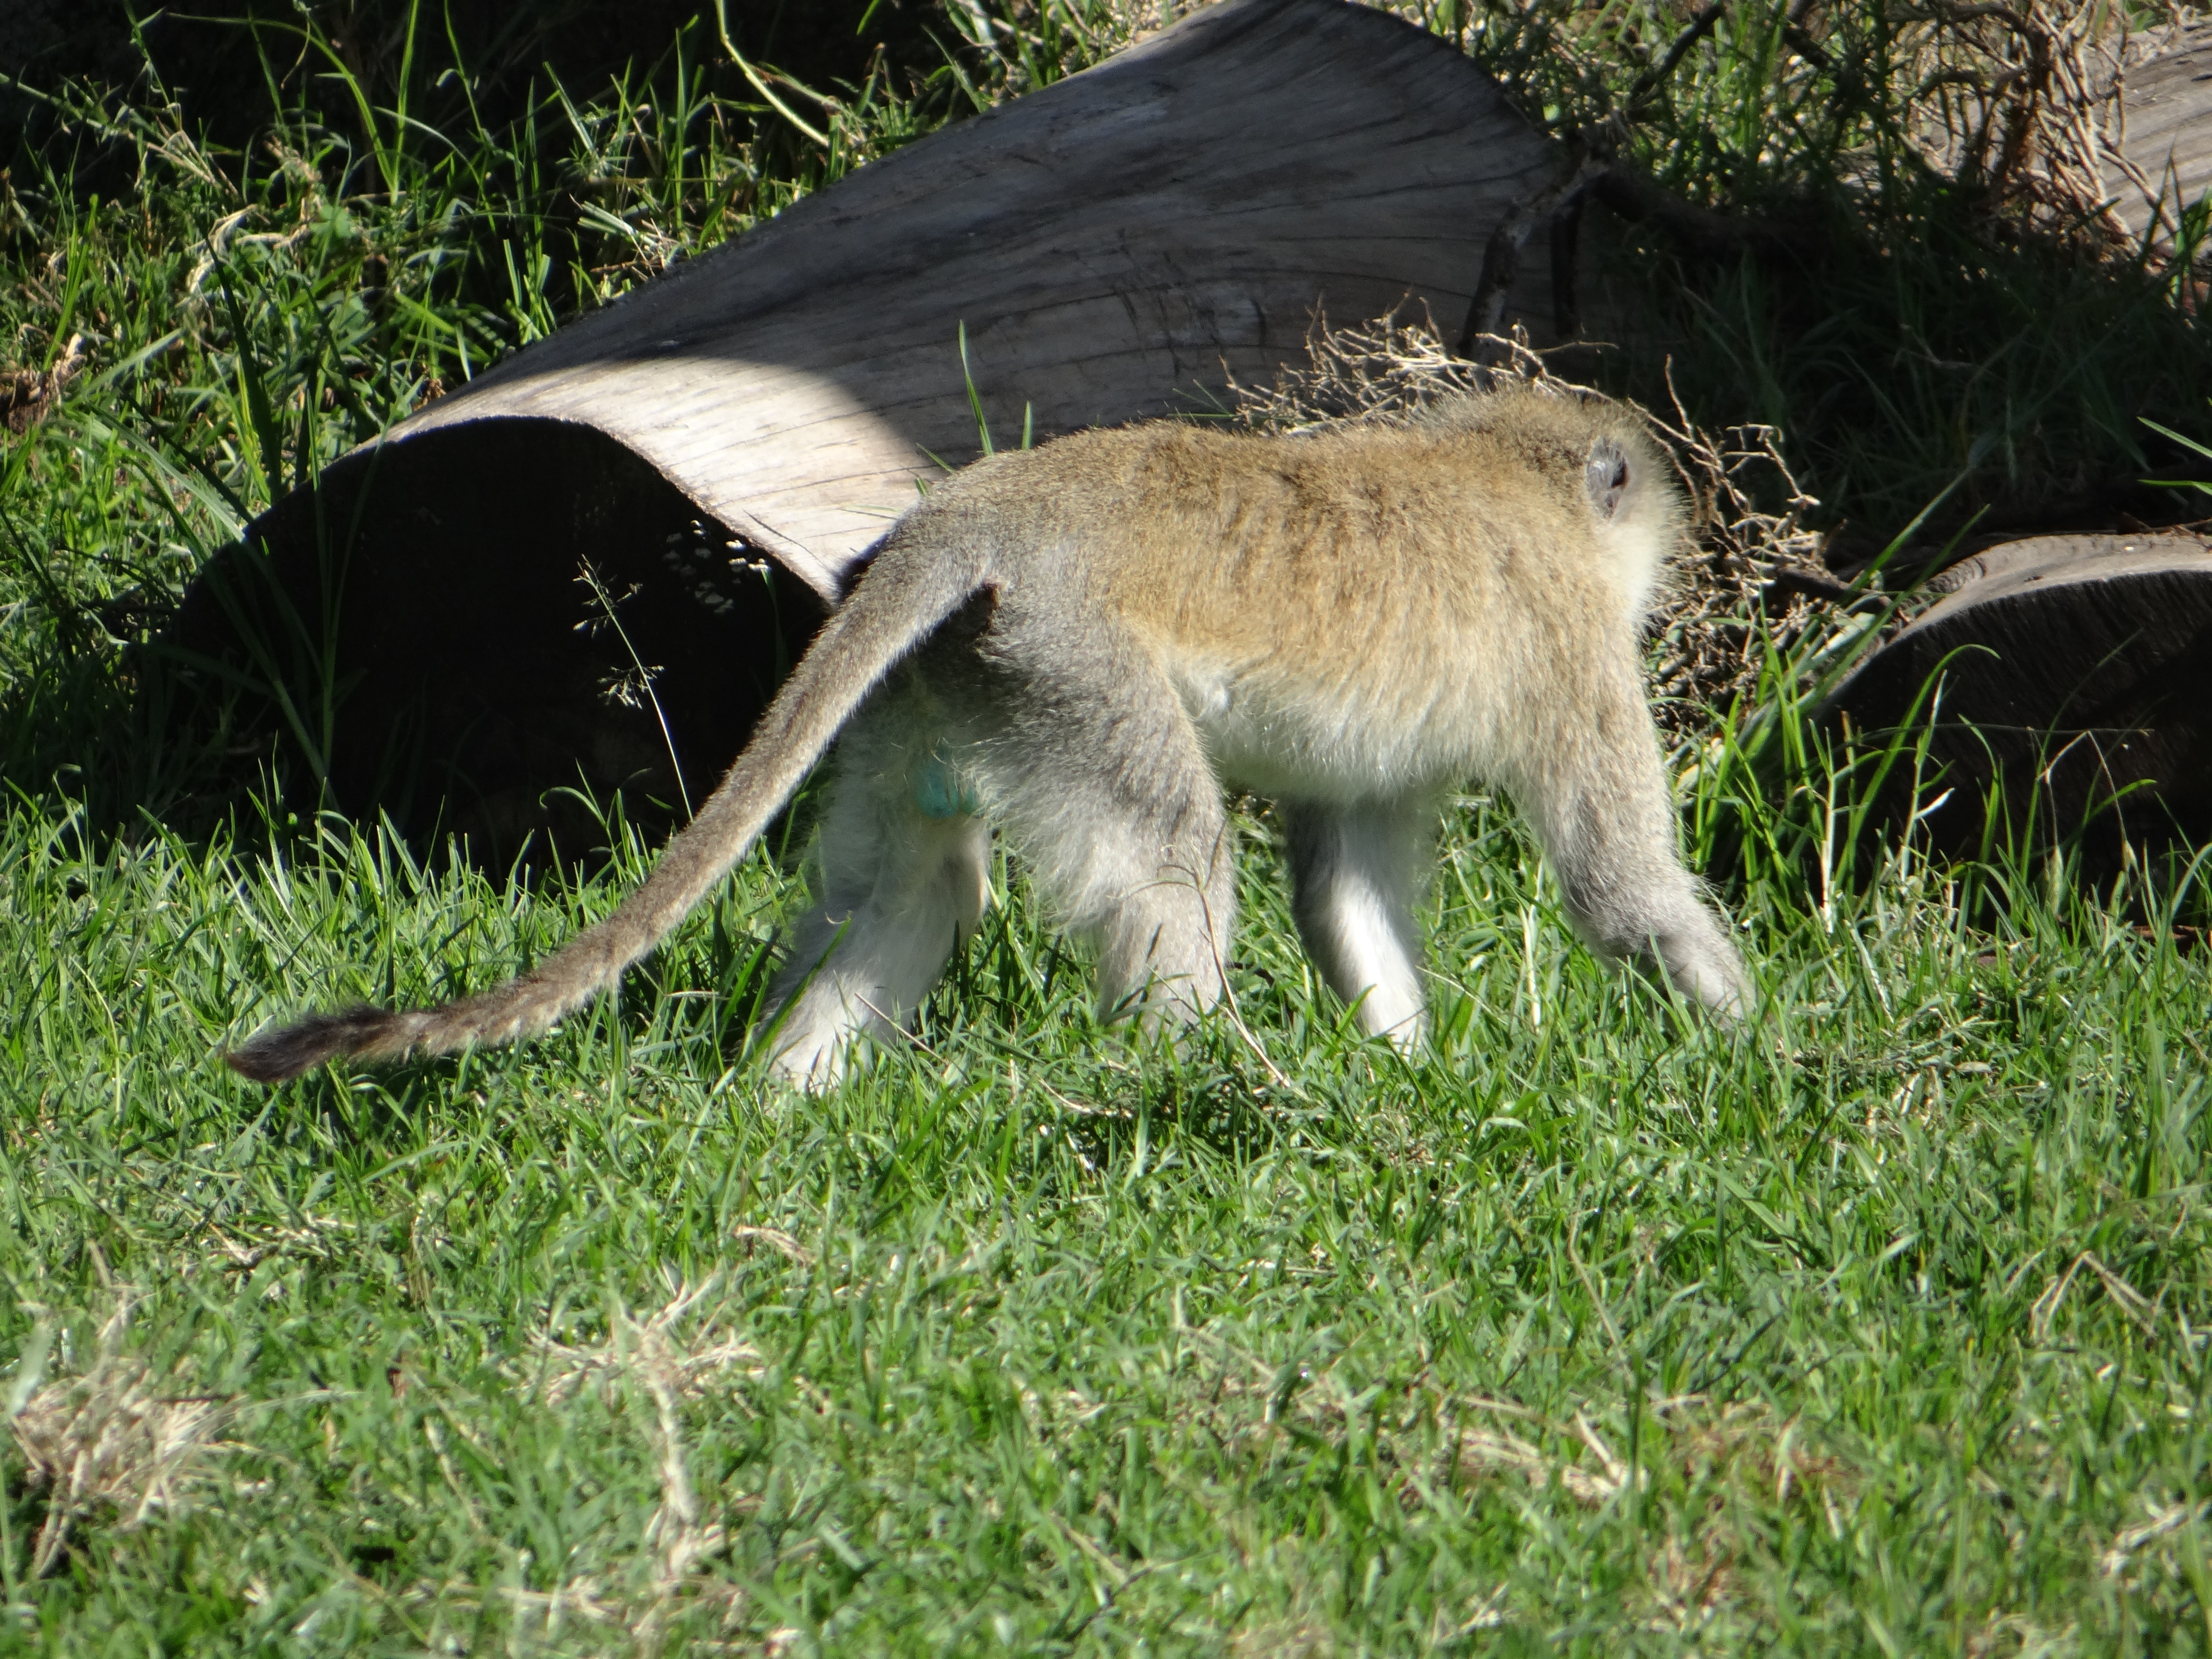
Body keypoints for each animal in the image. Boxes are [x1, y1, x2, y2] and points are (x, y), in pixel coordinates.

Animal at [224, 389, 1743, 1092]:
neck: (1507, 460)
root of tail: (971, 517)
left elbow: (1346, 886)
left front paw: (1405, 1078)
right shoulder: (1572, 651)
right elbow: (1623, 894)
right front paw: (1755, 1058)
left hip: (947, 681)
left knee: (913, 883)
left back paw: (778, 1101)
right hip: (1074, 666)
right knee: (1169, 854)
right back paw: (1203, 1086)